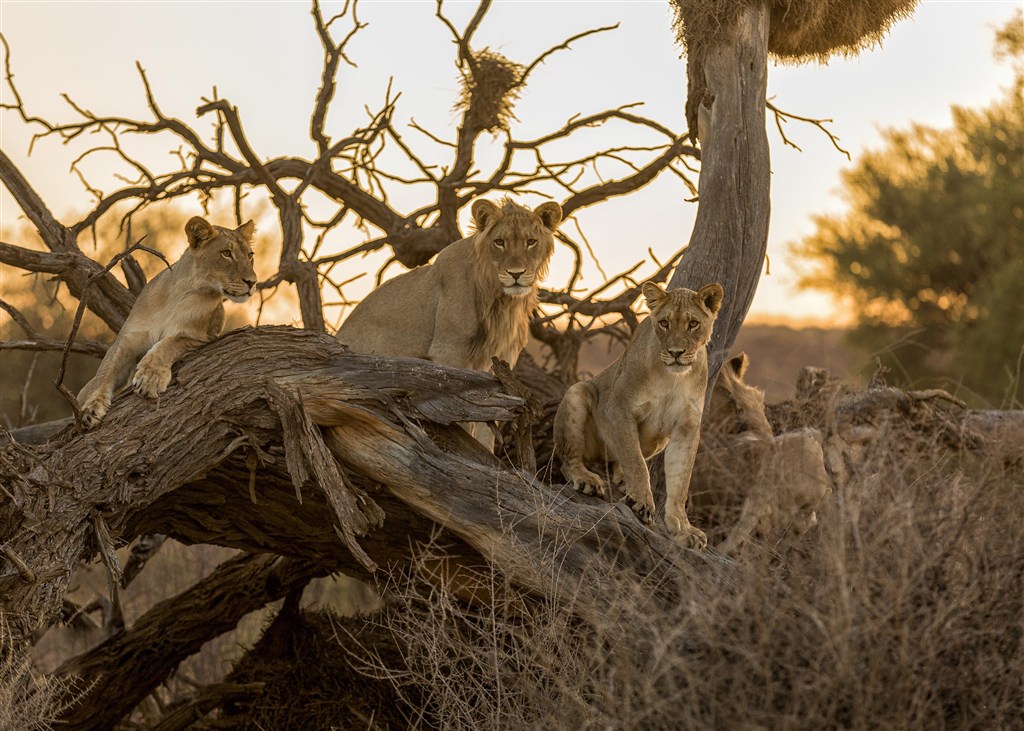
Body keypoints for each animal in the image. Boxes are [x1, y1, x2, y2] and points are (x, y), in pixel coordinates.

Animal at [78, 216, 258, 427]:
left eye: (250, 255)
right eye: (226, 253)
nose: (252, 282)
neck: (181, 291)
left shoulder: (203, 336)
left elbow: (169, 344)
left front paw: (150, 378)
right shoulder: (127, 341)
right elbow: (105, 372)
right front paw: (91, 407)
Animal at [552, 278, 729, 548]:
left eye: (693, 324)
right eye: (664, 323)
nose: (676, 353)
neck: (672, 378)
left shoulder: (687, 427)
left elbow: (680, 482)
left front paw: (682, 529)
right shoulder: (619, 407)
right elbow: (636, 462)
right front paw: (641, 503)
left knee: (619, 462)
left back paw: (621, 480)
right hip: (577, 392)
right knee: (570, 461)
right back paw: (588, 480)